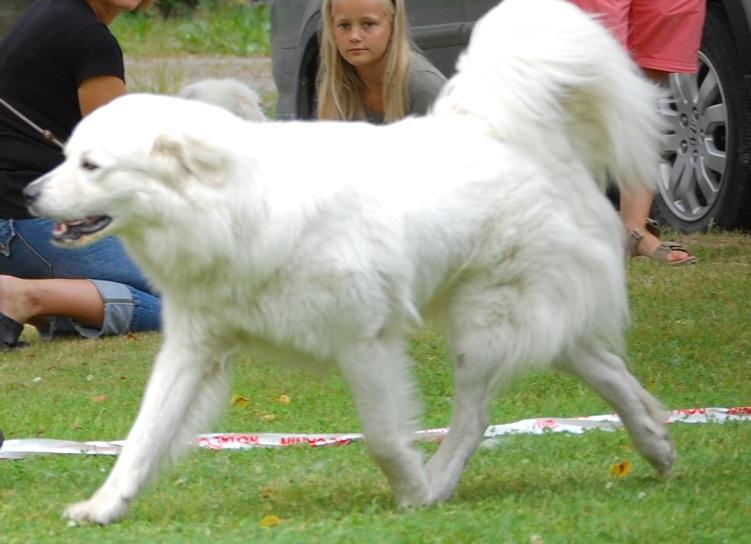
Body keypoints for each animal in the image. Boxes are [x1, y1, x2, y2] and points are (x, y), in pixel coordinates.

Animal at [23, 0, 676, 524]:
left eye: (91, 166)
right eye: (68, 155)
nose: (28, 194)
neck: (236, 209)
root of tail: (503, 132)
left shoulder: (366, 342)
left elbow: (384, 438)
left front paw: (412, 493)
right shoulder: (193, 348)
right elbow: (144, 436)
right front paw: (103, 507)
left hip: (483, 326)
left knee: (476, 416)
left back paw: (441, 480)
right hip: (516, 316)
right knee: (606, 369)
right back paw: (657, 442)